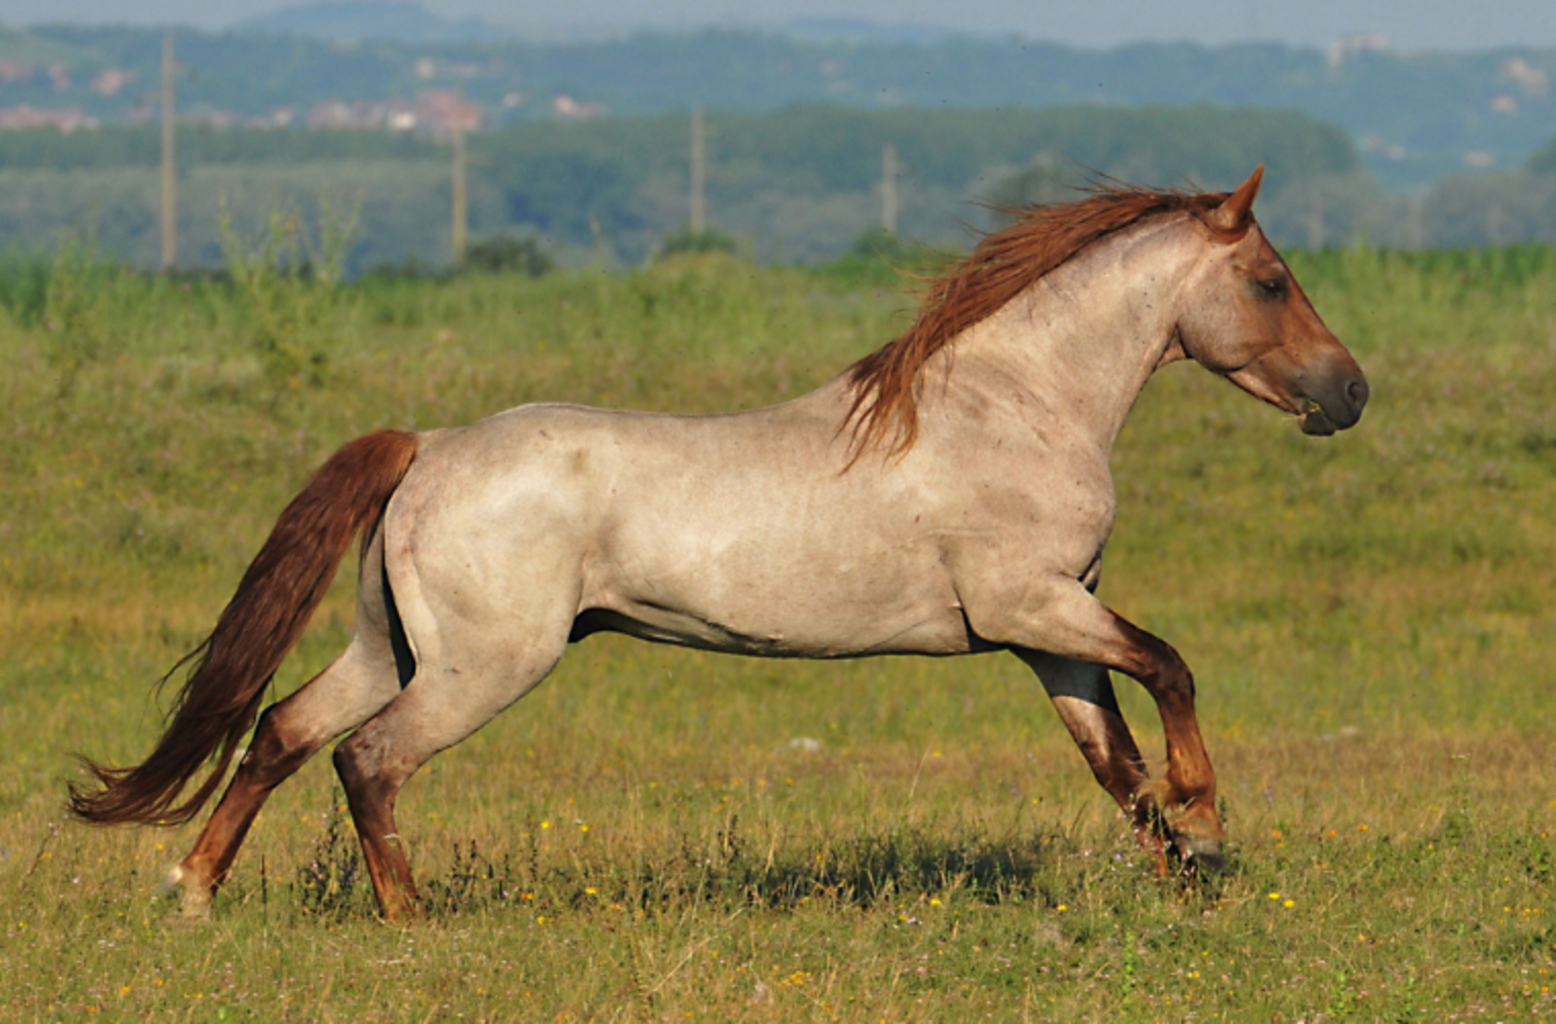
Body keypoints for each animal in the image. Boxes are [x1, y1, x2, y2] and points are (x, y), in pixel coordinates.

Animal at [70, 165, 1363, 915]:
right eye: (1268, 277)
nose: (1347, 393)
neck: (1016, 403)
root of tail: (429, 445)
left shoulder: (1048, 631)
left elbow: (1113, 764)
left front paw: (1189, 871)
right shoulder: (1029, 605)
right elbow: (1171, 672)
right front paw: (1208, 821)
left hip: (392, 644)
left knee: (283, 729)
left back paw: (191, 891)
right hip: (488, 664)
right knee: (370, 758)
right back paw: (412, 921)